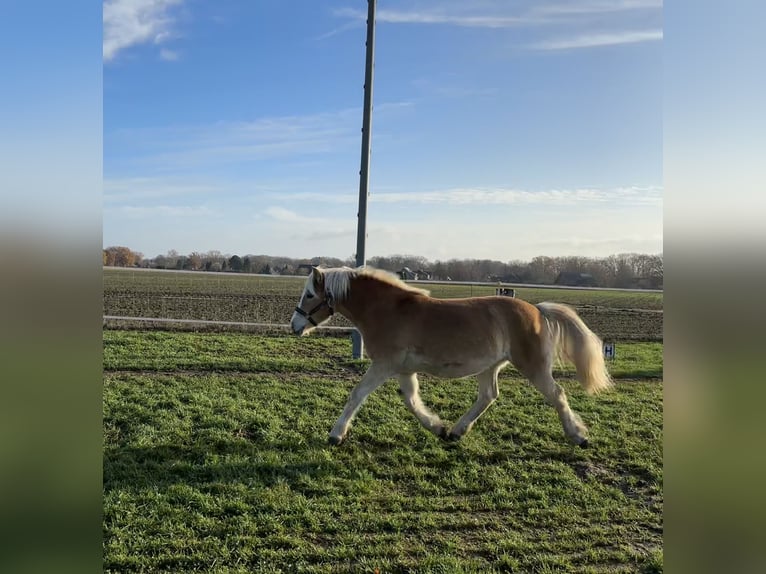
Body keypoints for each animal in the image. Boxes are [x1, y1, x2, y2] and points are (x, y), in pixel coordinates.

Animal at [292, 266, 616, 450]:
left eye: (308, 294)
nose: (295, 325)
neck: (388, 310)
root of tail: (537, 310)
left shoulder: (383, 365)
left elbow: (357, 394)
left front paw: (336, 435)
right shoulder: (403, 369)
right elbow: (411, 400)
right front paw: (438, 428)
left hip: (533, 366)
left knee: (557, 394)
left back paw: (578, 436)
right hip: (490, 367)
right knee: (488, 396)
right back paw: (457, 431)